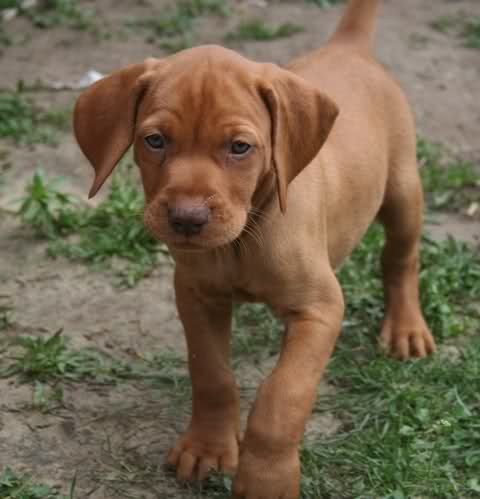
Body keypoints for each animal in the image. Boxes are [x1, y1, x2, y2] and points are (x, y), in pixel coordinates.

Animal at [73, 1, 436, 498]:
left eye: (240, 147)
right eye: (155, 140)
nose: (187, 219)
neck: (245, 238)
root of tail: (348, 46)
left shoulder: (321, 308)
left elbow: (282, 396)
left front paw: (266, 478)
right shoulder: (196, 296)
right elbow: (212, 374)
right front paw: (207, 447)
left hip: (402, 193)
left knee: (401, 257)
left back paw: (405, 327)